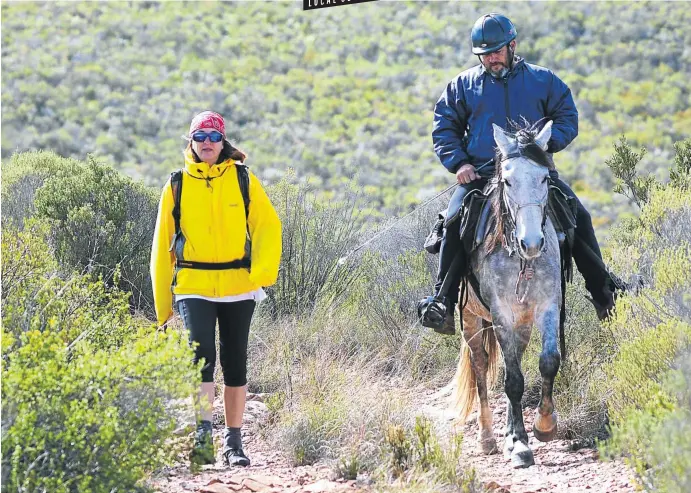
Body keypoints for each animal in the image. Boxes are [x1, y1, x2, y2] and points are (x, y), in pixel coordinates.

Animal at [456, 119, 564, 466]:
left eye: (544, 177)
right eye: (507, 180)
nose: (531, 243)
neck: (521, 260)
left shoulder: (547, 306)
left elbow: (548, 361)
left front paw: (544, 425)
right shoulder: (501, 313)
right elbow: (513, 380)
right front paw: (519, 444)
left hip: (523, 322)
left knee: (510, 358)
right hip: (472, 320)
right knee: (480, 367)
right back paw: (489, 437)